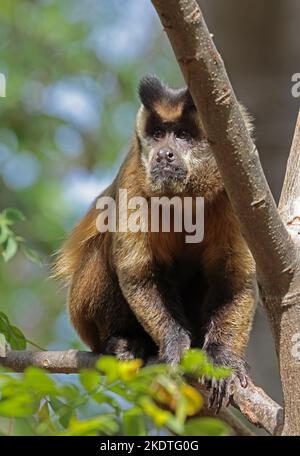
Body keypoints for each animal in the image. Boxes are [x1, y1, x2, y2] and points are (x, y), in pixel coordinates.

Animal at [55, 75, 258, 410]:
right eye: (159, 134)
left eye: (184, 135)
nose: (164, 154)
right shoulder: (134, 179)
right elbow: (139, 275)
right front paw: (173, 343)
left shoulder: (236, 192)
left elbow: (234, 279)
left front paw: (223, 360)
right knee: (106, 253)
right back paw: (123, 342)